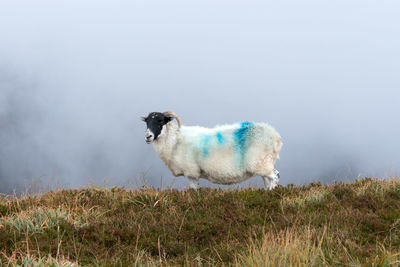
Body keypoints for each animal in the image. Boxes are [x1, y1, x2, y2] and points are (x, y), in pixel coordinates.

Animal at [141, 112, 282, 189]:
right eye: (147, 122)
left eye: (160, 121)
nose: (148, 136)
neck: (175, 140)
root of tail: (275, 136)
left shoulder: (191, 172)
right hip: (264, 163)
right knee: (268, 179)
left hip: (260, 163)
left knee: (275, 176)